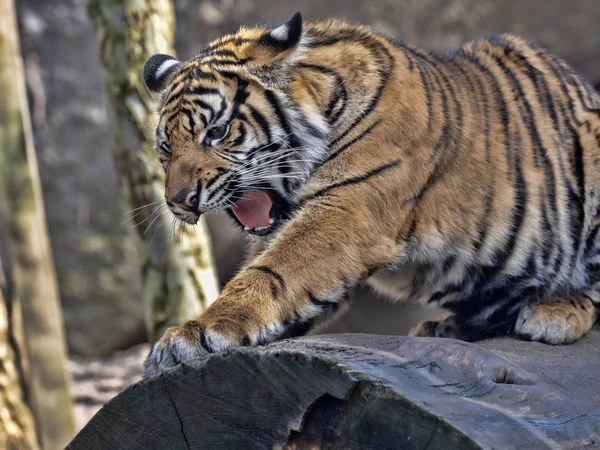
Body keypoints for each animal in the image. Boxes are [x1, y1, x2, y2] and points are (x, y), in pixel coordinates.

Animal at [142, 11, 600, 376]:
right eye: (165, 148)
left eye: (217, 132)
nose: (179, 200)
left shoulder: (348, 208)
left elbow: (272, 271)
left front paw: (193, 335)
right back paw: (445, 328)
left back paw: (554, 313)